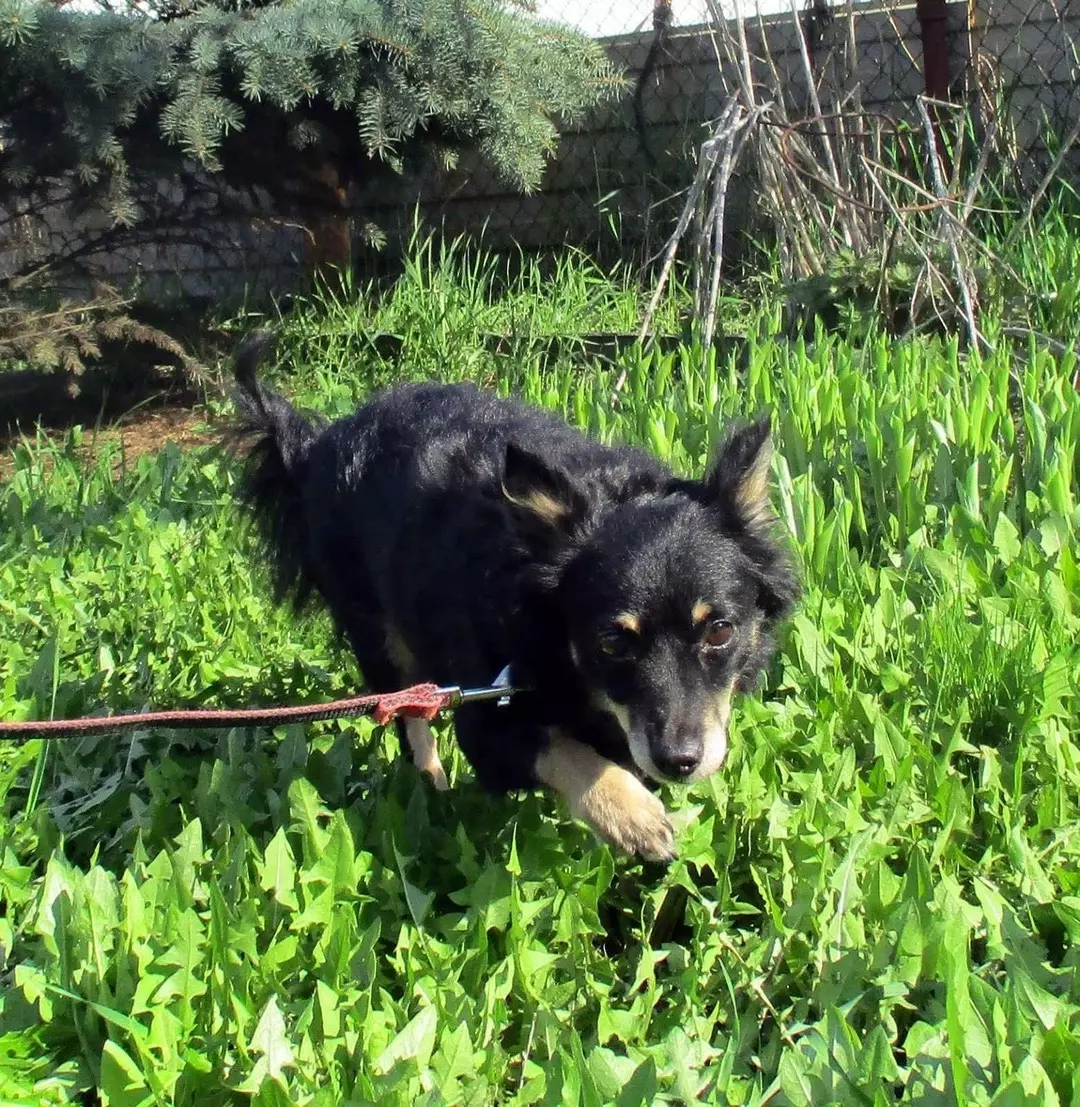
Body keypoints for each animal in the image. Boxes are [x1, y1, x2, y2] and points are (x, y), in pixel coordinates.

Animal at [234, 332, 792, 859]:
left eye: (720, 631)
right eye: (612, 643)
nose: (679, 761)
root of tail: (315, 445)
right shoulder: (486, 716)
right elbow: (560, 749)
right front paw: (633, 815)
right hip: (380, 641)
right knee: (411, 723)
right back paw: (434, 793)